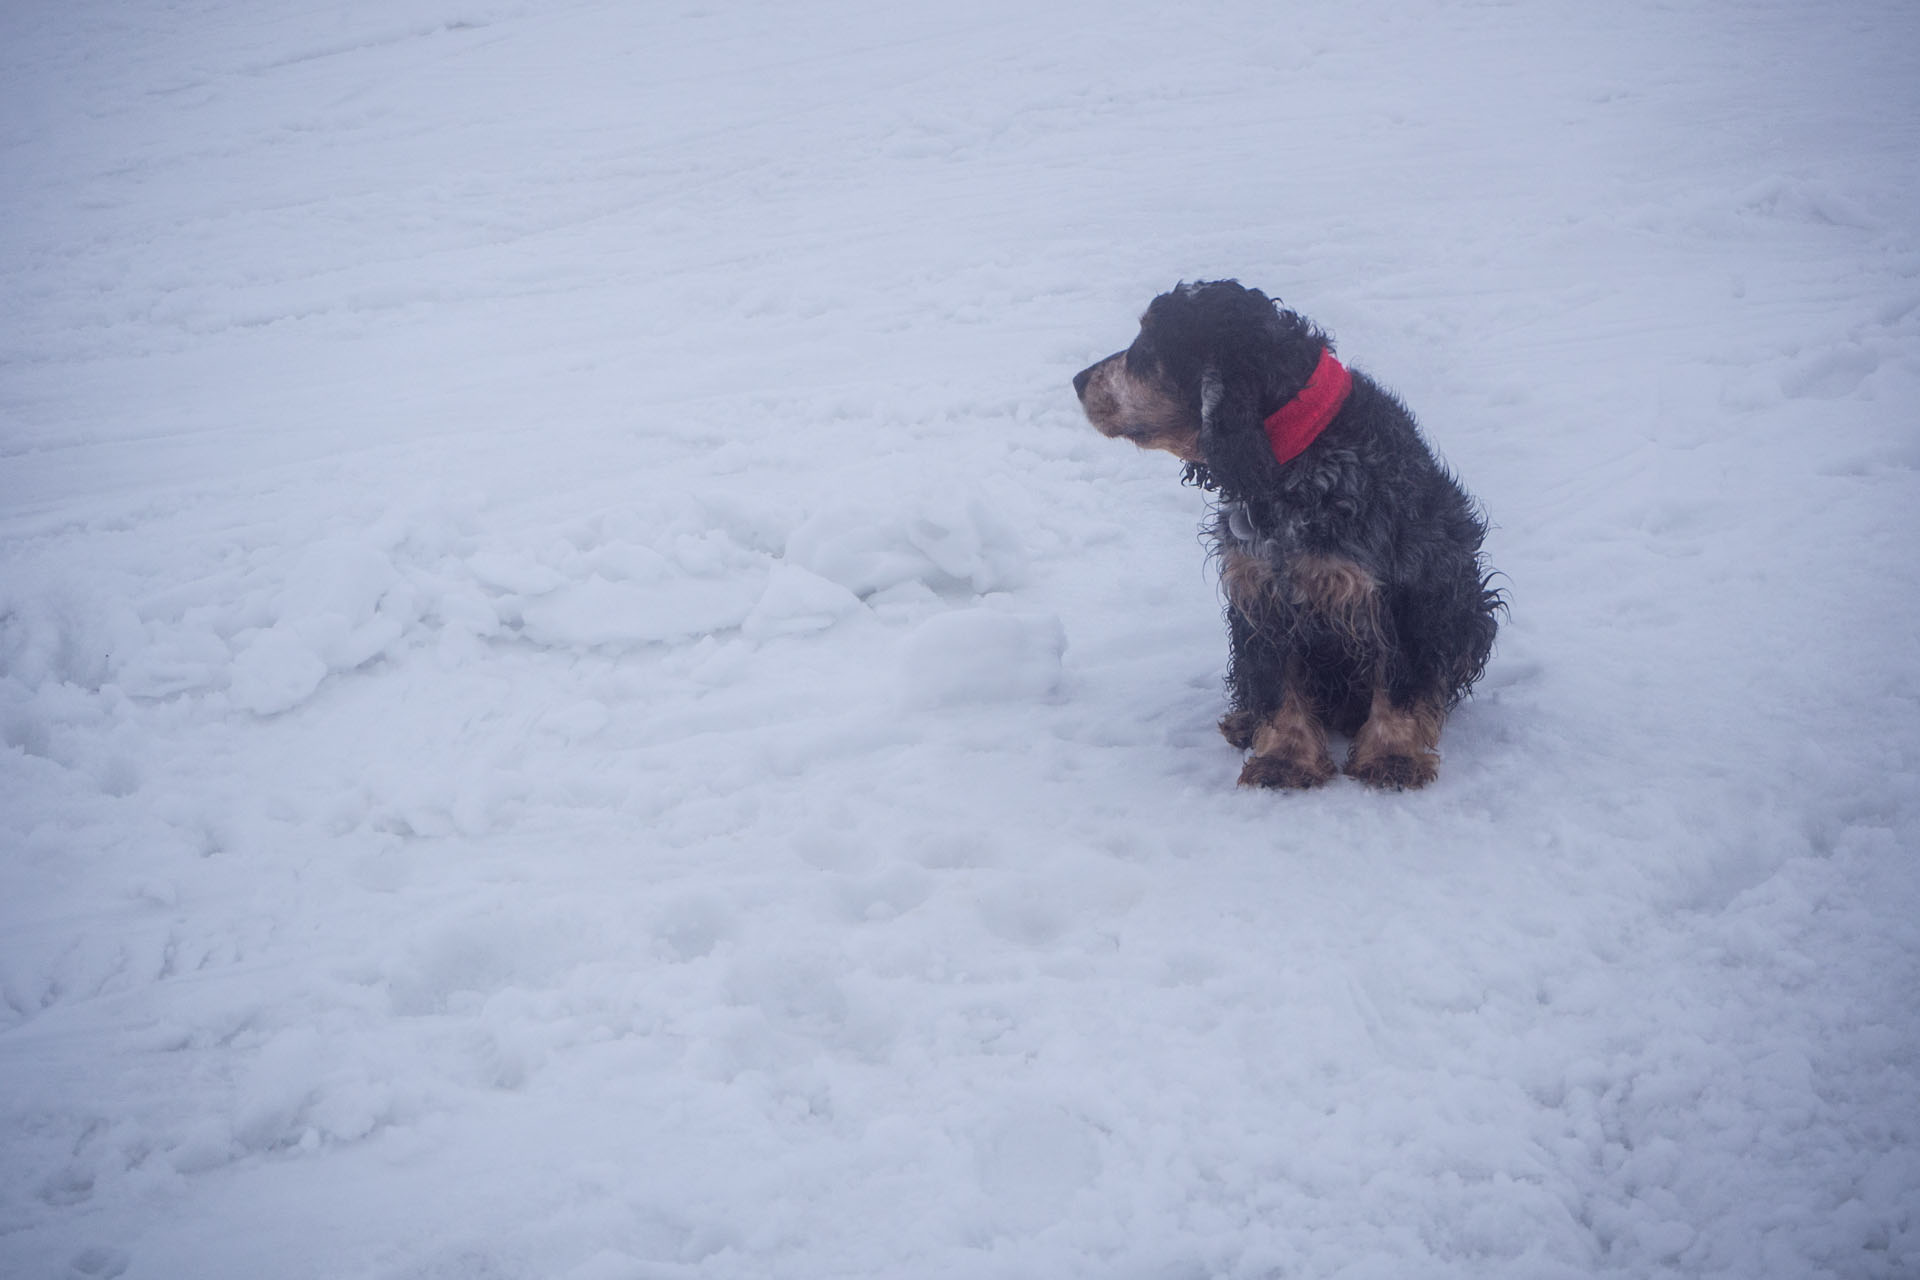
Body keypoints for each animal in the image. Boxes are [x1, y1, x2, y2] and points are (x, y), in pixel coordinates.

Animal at [1067, 278, 1497, 790]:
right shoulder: (1259, 590)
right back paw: (1244, 721)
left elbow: (1399, 684)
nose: (1077, 381)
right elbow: (1277, 684)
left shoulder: (1405, 591)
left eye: (1147, 348)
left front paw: (1393, 757)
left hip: (1472, 609)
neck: (1295, 460)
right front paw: (1285, 760)